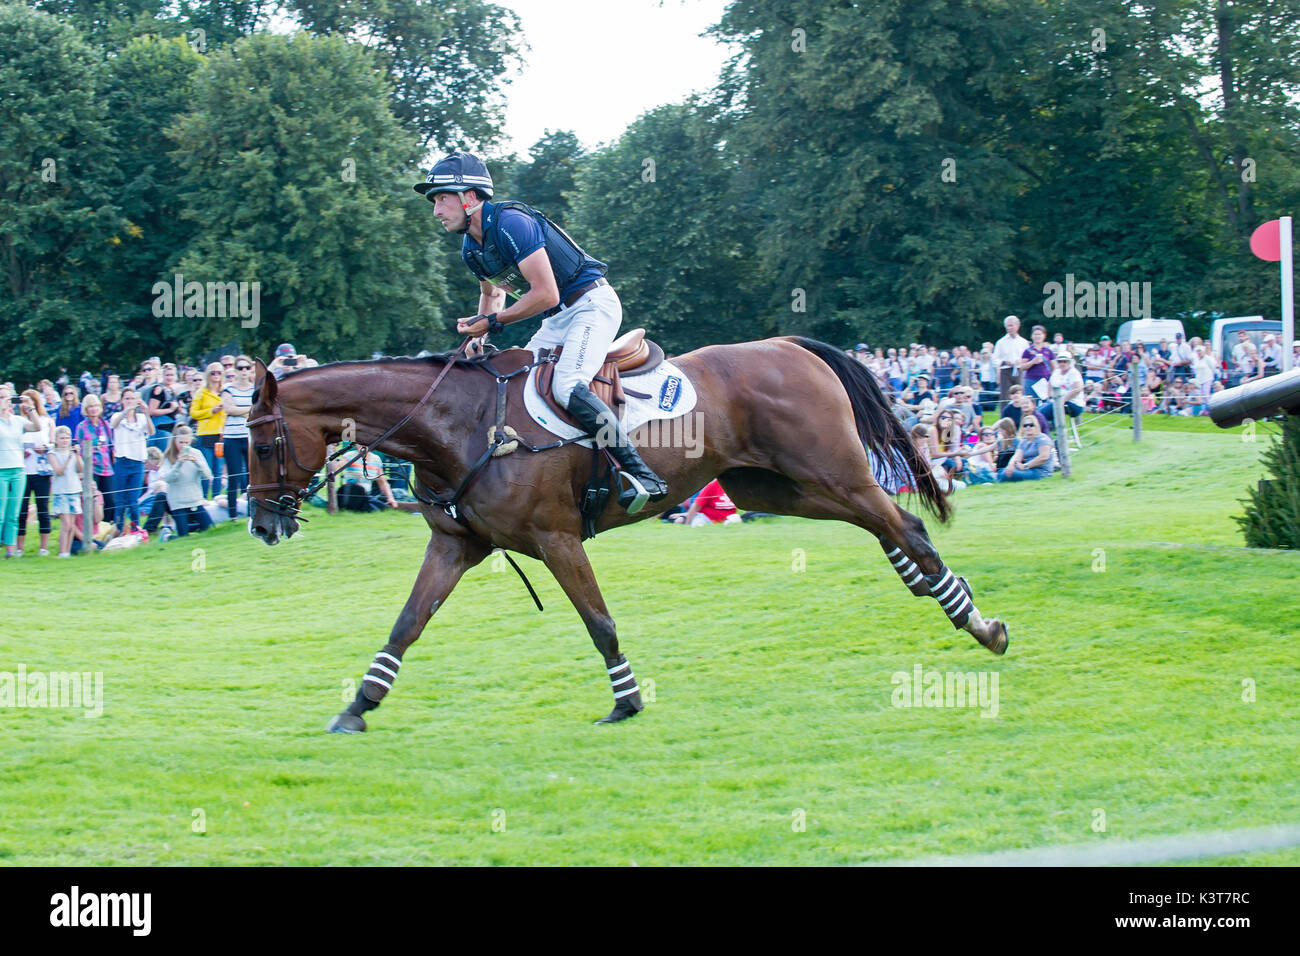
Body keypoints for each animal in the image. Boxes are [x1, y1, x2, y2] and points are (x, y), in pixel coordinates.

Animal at [248, 335, 1008, 733]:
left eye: (259, 445)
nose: (260, 525)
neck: (456, 427)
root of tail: (789, 345)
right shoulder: (456, 545)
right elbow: (406, 625)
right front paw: (359, 705)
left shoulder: (557, 539)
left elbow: (600, 624)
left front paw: (626, 699)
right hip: (773, 485)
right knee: (888, 522)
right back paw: (938, 592)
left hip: (826, 468)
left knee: (903, 520)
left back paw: (979, 622)